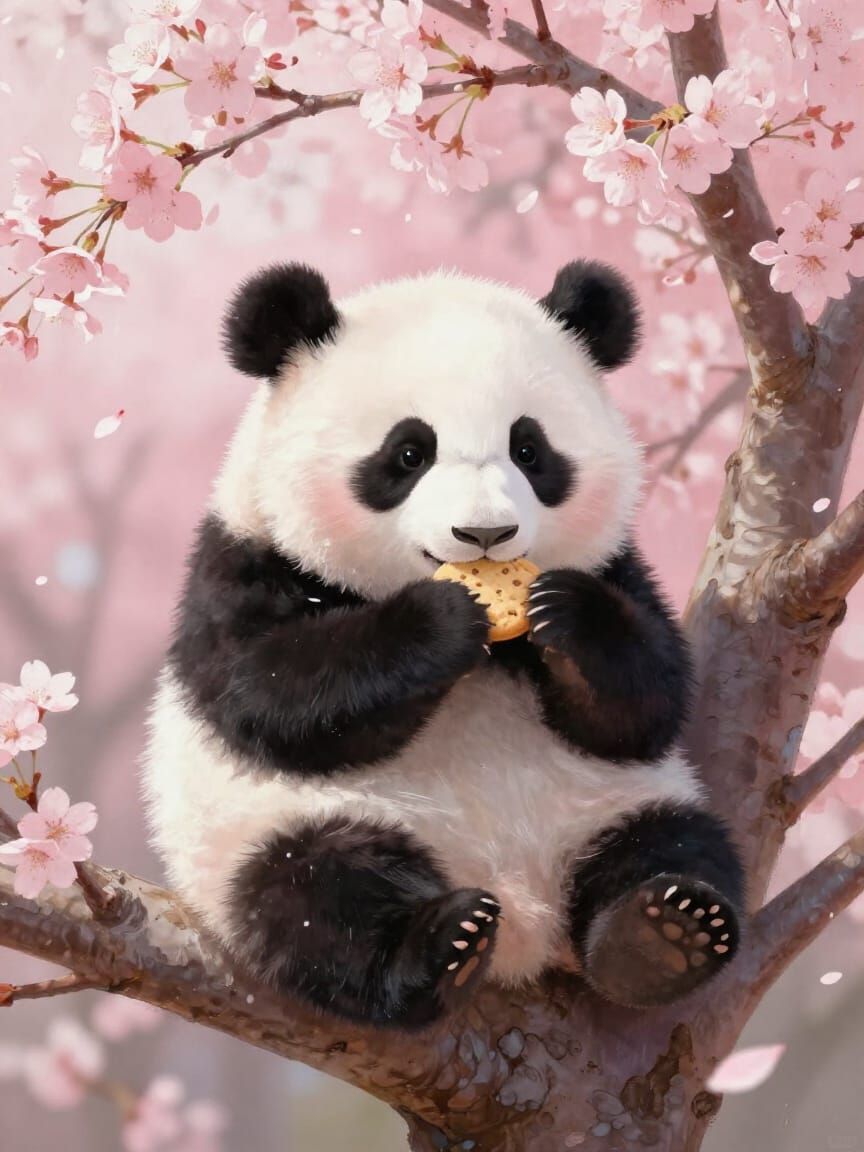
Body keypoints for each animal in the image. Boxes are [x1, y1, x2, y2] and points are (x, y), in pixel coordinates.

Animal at [143, 260, 744, 1028]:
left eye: (529, 450)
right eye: (408, 453)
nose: (484, 534)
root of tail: (525, 925)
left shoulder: (619, 568)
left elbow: (648, 702)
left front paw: (565, 615)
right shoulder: (241, 565)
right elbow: (270, 693)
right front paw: (441, 620)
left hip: (612, 804)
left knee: (676, 845)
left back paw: (663, 936)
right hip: (276, 827)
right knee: (313, 893)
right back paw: (438, 946)